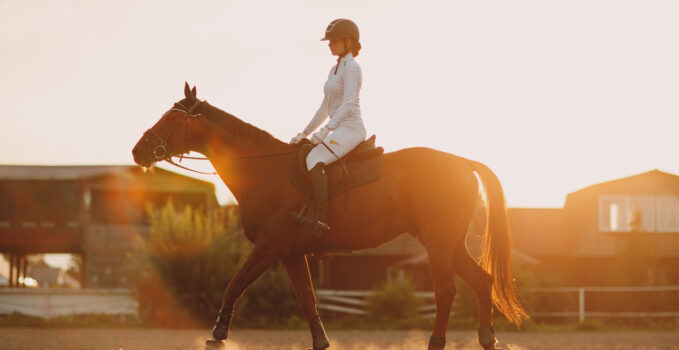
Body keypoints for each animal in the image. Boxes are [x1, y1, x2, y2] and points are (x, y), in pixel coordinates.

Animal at [131, 84, 524, 350]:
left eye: (171, 118)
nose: (137, 151)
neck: (264, 171)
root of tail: (463, 162)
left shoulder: (269, 247)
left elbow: (234, 284)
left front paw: (217, 335)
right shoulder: (291, 254)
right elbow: (308, 300)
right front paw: (321, 342)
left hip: (439, 244)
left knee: (445, 291)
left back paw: (436, 342)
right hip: (449, 243)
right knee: (482, 282)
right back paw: (488, 339)